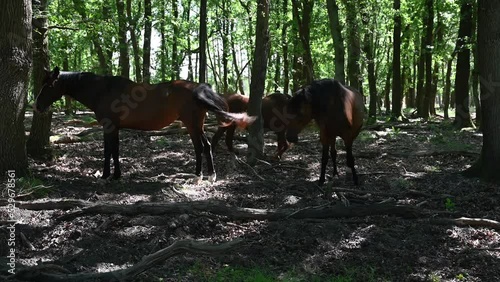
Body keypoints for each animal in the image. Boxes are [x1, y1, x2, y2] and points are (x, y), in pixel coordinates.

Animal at [33, 66, 256, 182]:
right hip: (196, 125)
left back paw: (201, 175)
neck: (103, 90)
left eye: (49, 85)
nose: (37, 106)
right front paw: (116, 175)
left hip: (192, 125)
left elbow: (109, 151)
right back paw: (206, 175)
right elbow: (115, 150)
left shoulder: (109, 126)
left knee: (201, 147)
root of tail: (197, 88)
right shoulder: (115, 128)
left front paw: (106, 175)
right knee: (205, 146)